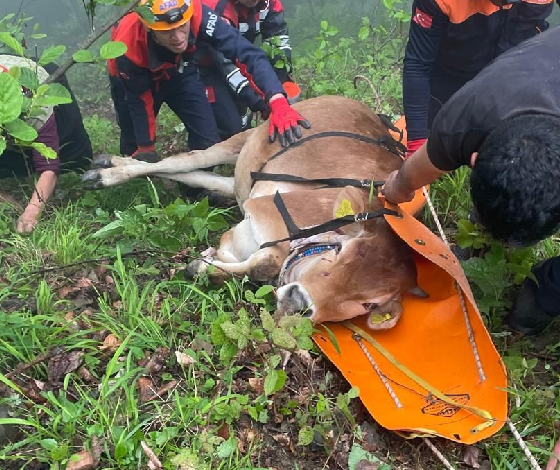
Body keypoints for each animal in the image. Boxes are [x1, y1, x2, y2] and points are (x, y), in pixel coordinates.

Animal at [82, 94, 428, 330]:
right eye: (341, 253)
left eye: (368, 303)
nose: (299, 301)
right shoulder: (268, 207)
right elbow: (267, 260)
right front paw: (202, 266)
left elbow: (252, 262)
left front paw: (207, 264)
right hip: (244, 140)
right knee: (181, 160)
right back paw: (105, 171)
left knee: (203, 177)